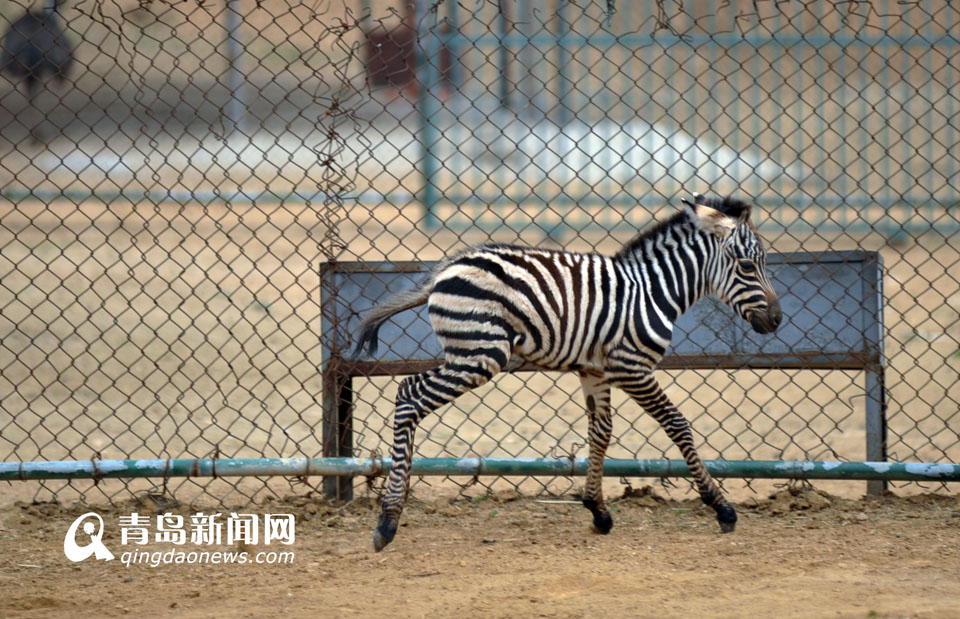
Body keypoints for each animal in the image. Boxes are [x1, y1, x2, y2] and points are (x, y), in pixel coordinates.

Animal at [356, 195, 784, 552]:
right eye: (748, 266)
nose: (778, 321)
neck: (651, 292)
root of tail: (447, 267)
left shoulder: (594, 370)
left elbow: (601, 432)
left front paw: (597, 510)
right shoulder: (632, 367)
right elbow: (677, 424)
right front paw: (721, 507)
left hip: (470, 353)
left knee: (408, 396)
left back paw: (394, 509)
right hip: (480, 354)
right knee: (408, 397)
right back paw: (388, 520)